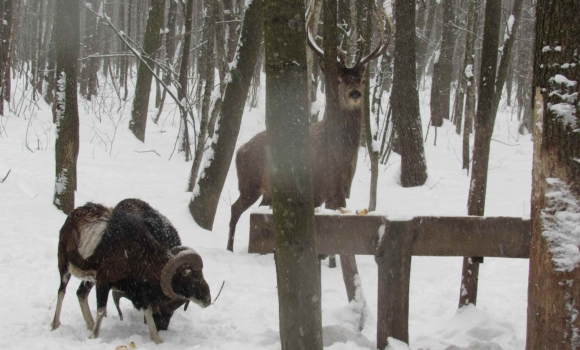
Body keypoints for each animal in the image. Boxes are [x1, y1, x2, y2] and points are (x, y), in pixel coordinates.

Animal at [228, 11, 394, 252]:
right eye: (340, 79)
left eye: (362, 79)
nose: (355, 93)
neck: (340, 157)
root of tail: (240, 150)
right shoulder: (316, 189)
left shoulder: (339, 190)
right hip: (249, 183)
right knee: (235, 209)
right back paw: (229, 247)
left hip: (267, 191)